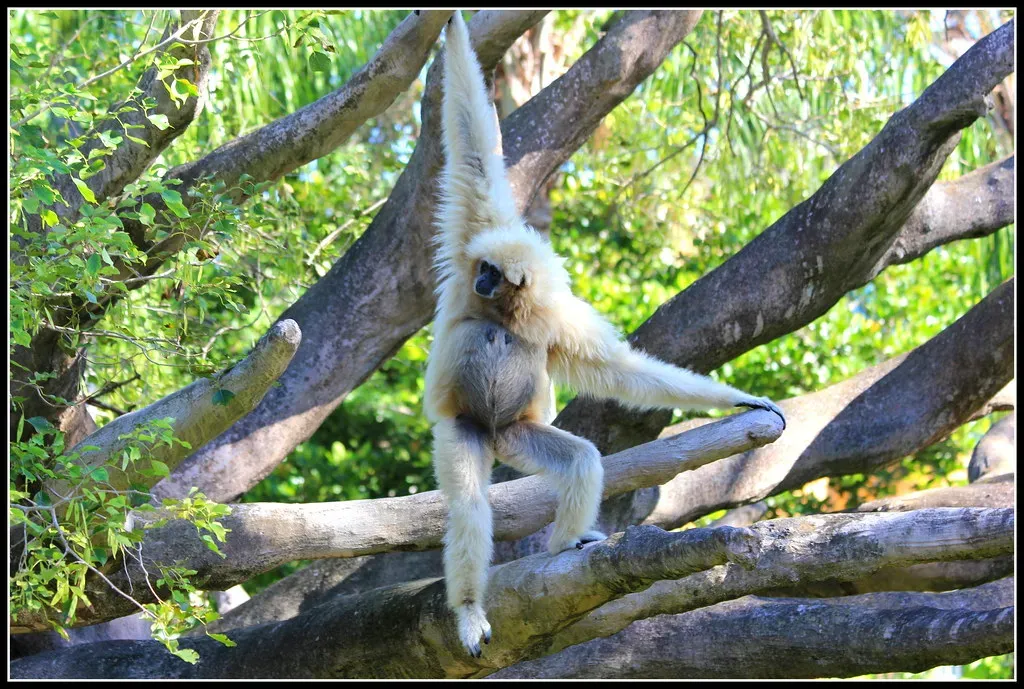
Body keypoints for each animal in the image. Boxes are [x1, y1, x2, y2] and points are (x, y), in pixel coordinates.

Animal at [424, 11, 786, 658]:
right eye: (483, 269)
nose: (483, 279)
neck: (505, 315)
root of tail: (493, 434)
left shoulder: (557, 320)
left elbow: (622, 370)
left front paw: (738, 399)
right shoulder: (472, 242)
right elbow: (471, 154)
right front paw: (452, 30)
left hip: (519, 432)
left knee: (582, 461)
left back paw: (566, 544)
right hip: (462, 428)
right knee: (468, 503)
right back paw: (468, 607)